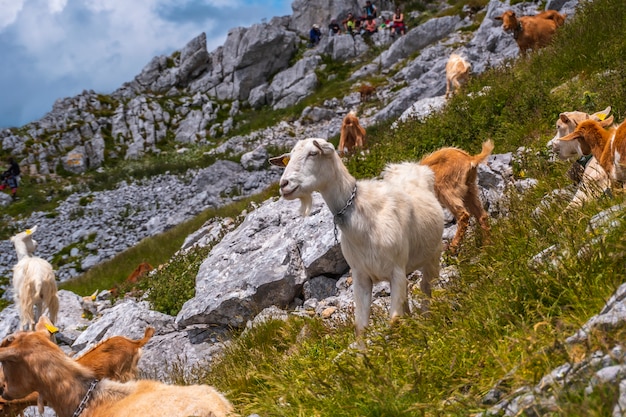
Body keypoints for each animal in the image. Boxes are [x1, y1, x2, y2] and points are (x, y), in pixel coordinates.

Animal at [268, 138, 444, 340]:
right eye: (289, 157)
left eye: (313, 153)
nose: (284, 184)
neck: (365, 220)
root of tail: (409, 165)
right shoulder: (361, 276)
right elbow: (360, 328)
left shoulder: (396, 269)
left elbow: (393, 320)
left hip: (433, 254)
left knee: (426, 287)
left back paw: (428, 322)